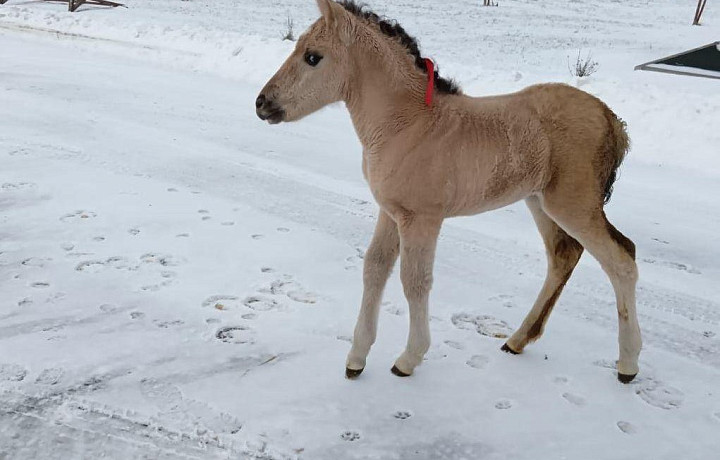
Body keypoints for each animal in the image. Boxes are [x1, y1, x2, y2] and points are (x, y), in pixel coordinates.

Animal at [258, 0, 640, 384]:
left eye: (313, 57)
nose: (262, 103)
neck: (407, 125)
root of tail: (612, 119)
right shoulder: (390, 211)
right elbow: (375, 269)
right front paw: (356, 359)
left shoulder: (422, 218)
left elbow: (414, 280)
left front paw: (408, 359)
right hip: (539, 201)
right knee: (564, 255)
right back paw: (517, 340)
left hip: (573, 204)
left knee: (622, 260)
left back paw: (628, 364)